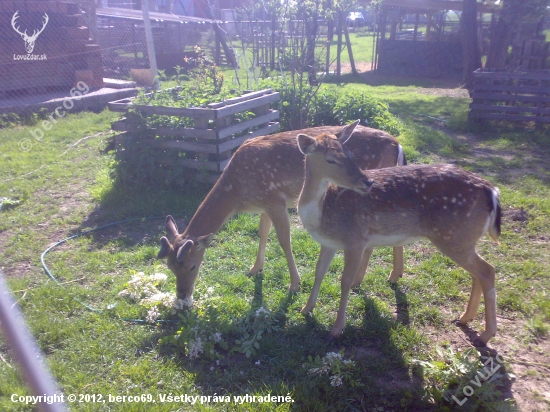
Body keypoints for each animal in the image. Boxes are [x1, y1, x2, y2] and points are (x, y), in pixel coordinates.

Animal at [157, 124, 408, 300]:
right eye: (170, 267)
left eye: (192, 265)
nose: (182, 294)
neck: (237, 194)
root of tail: (399, 146)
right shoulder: (265, 203)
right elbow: (262, 233)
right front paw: (255, 269)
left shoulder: (275, 200)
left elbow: (284, 240)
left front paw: (295, 284)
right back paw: (393, 275)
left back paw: (379, 277)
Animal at [298, 120, 504, 346]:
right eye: (330, 160)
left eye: (350, 153)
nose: (367, 182)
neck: (324, 211)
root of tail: (492, 191)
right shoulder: (328, 243)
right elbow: (319, 272)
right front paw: (305, 309)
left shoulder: (355, 239)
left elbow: (344, 282)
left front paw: (336, 329)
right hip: (463, 239)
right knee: (479, 273)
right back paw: (465, 318)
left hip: (454, 236)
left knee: (487, 271)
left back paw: (485, 335)